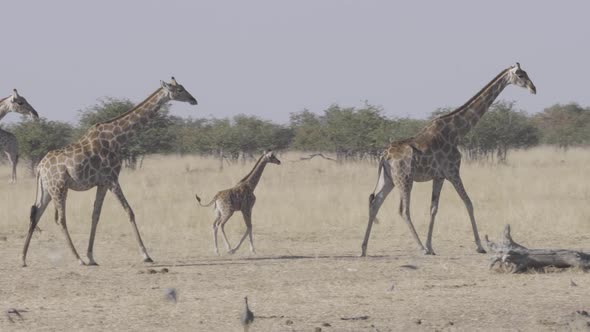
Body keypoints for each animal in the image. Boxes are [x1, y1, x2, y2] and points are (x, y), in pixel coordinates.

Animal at [23, 76, 199, 266]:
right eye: (180, 90)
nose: (194, 100)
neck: (117, 138)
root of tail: (40, 167)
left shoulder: (102, 183)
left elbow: (95, 215)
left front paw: (91, 256)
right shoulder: (113, 179)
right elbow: (129, 211)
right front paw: (146, 255)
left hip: (47, 189)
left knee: (36, 213)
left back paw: (23, 258)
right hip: (59, 187)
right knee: (60, 219)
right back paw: (78, 259)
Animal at [364, 63, 540, 255]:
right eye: (521, 75)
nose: (533, 88)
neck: (456, 131)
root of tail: (385, 155)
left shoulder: (439, 176)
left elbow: (433, 209)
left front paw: (431, 246)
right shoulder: (453, 172)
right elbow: (468, 202)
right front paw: (479, 246)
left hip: (388, 179)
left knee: (375, 203)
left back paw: (363, 248)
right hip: (405, 178)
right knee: (403, 210)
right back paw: (420, 248)